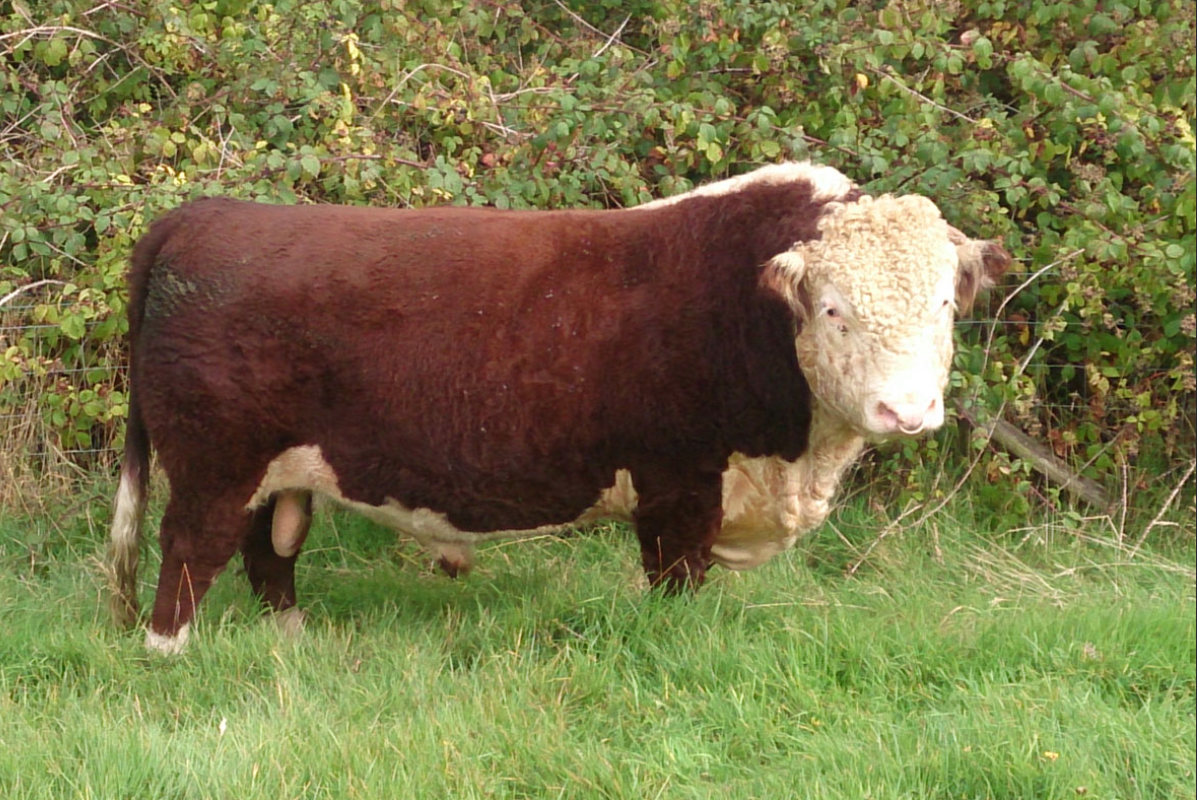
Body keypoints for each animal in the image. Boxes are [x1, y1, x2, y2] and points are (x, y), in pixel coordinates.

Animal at [106, 162, 1008, 653]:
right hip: (214, 462)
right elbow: (675, 581)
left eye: (943, 304)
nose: (905, 410)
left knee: (270, 553)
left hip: (279, 468)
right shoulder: (678, 483)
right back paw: (167, 651)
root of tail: (208, 213)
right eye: (831, 309)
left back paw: (295, 647)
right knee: (190, 550)